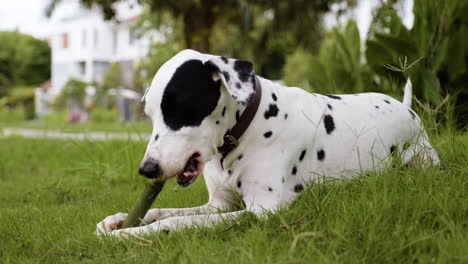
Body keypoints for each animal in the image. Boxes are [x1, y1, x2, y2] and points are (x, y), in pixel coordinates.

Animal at [97, 49, 440, 237]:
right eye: (150, 114)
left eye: (179, 109)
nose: (147, 169)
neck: (247, 128)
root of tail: (406, 107)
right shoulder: (218, 204)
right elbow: (163, 211)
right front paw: (118, 220)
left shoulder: (260, 212)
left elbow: (177, 223)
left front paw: (129, 233)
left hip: (423, 161)